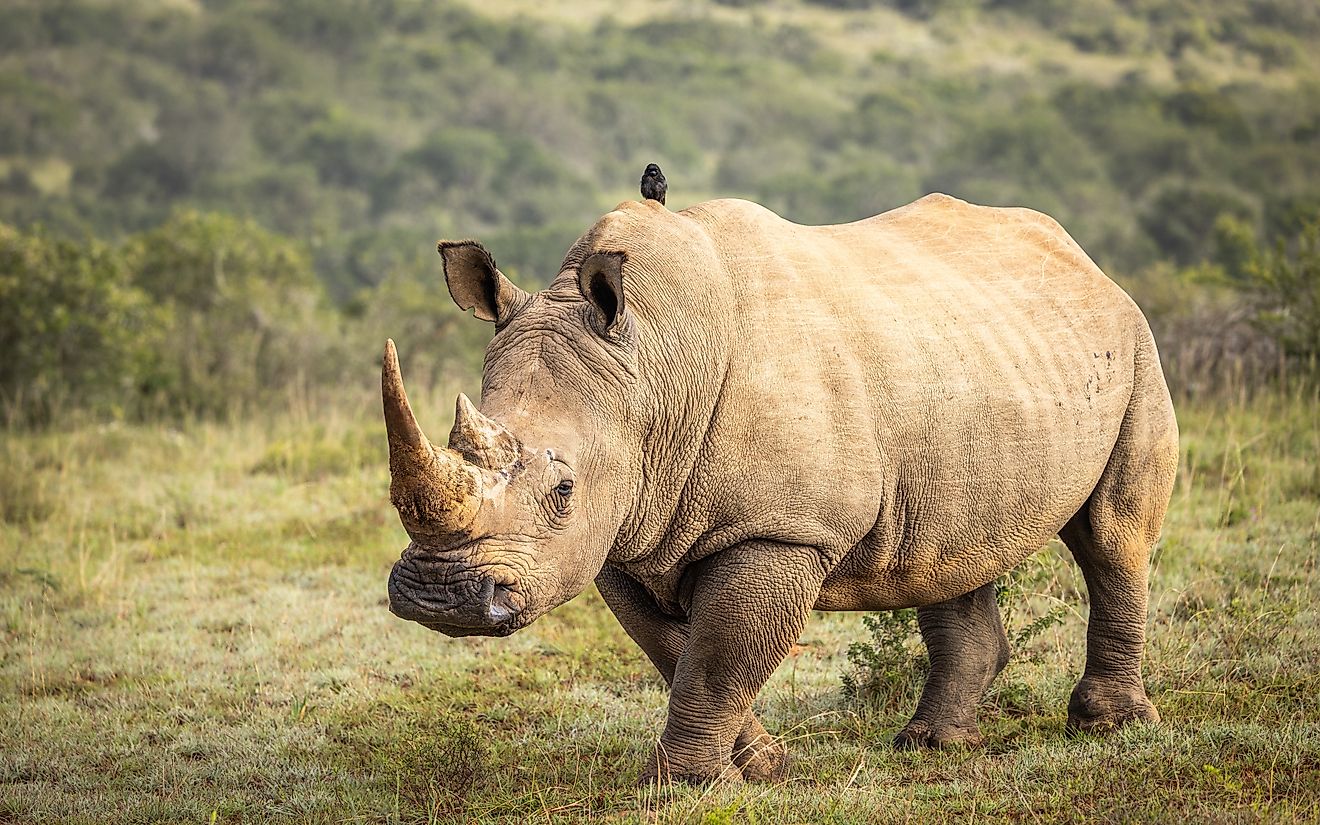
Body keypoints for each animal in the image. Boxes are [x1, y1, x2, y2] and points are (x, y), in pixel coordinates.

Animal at [383, 193, 1178, 784]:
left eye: (563, 490)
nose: (441, 598)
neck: (653, 367)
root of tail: (1084, 259)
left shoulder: (780, 528)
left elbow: (718, 658)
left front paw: (685, 787)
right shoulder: (623, 532)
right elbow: (676, 653)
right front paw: (760, 766)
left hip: (1135, 342)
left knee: (1113, 536)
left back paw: (1110, 726)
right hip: (969, 361)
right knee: (948, 550)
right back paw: (933, 745)